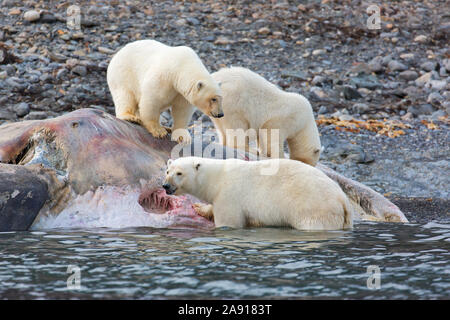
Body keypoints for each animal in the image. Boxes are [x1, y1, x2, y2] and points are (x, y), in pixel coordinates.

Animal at [163, 157, 354, 230]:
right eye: (167, 170)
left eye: (179, 173)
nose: (166, 185)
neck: (217, 177)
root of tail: (342, 199)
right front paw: (199, 206)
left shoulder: (229, 195)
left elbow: (229, 221)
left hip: (315, 209)